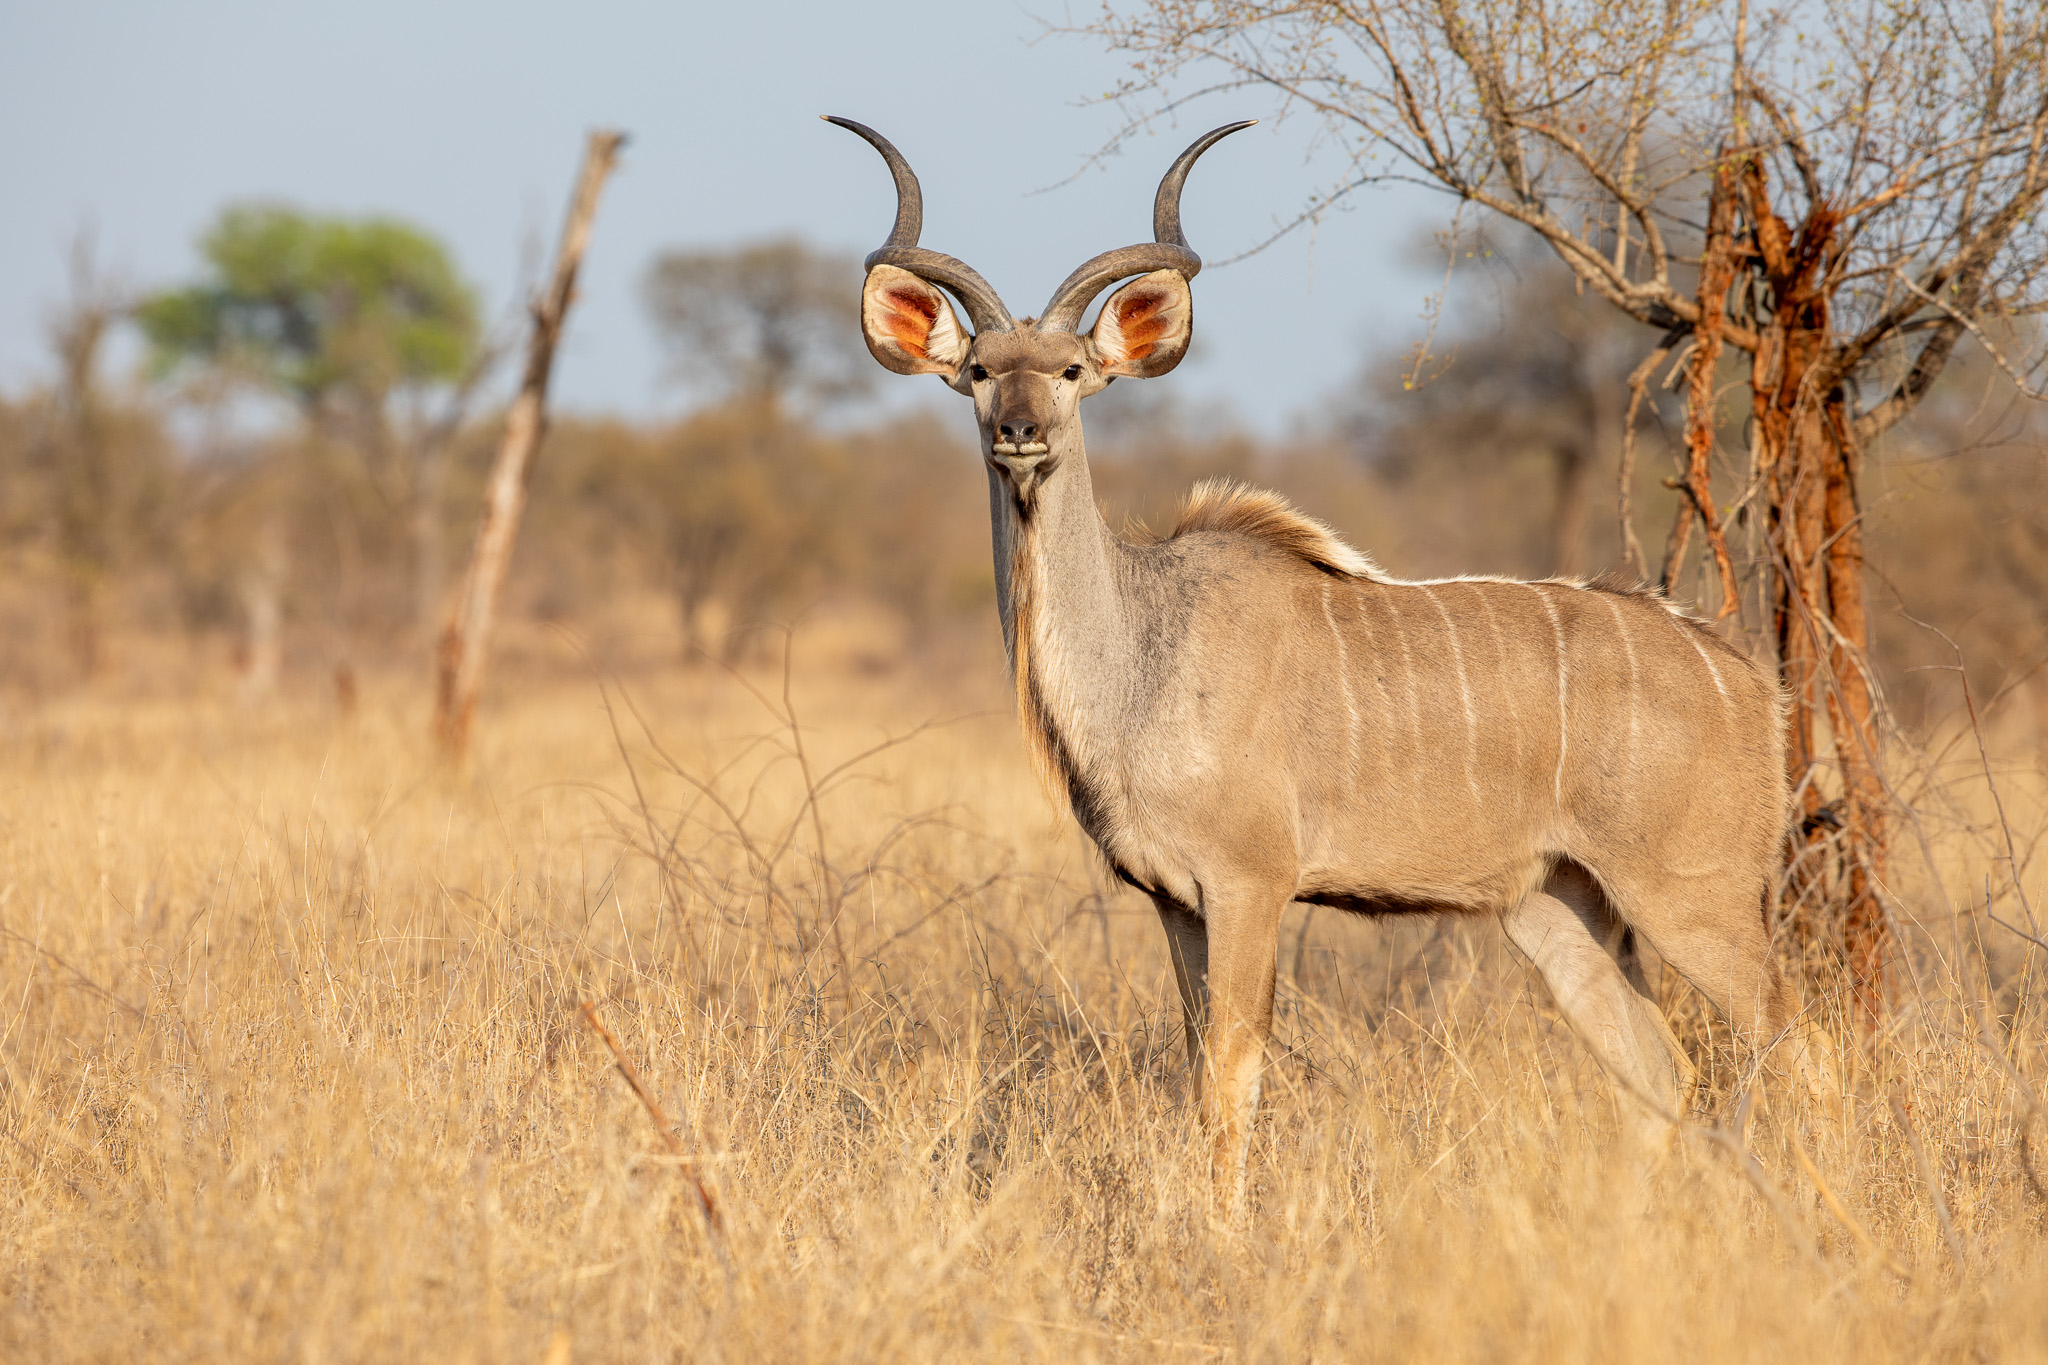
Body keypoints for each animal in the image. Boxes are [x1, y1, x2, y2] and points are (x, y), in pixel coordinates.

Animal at [823, 114, 1835, 1178]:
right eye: (979, 371)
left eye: (1069, 371)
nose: (1019, 432)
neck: (1144, 650)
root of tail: (1747, 679)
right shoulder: (1177, 903)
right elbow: (1202, 1069)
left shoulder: (1249, 885)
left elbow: (1232, 1077)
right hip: (1558, 904)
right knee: (1662, 1069)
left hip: (1693, 898)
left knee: (1800, 1044)